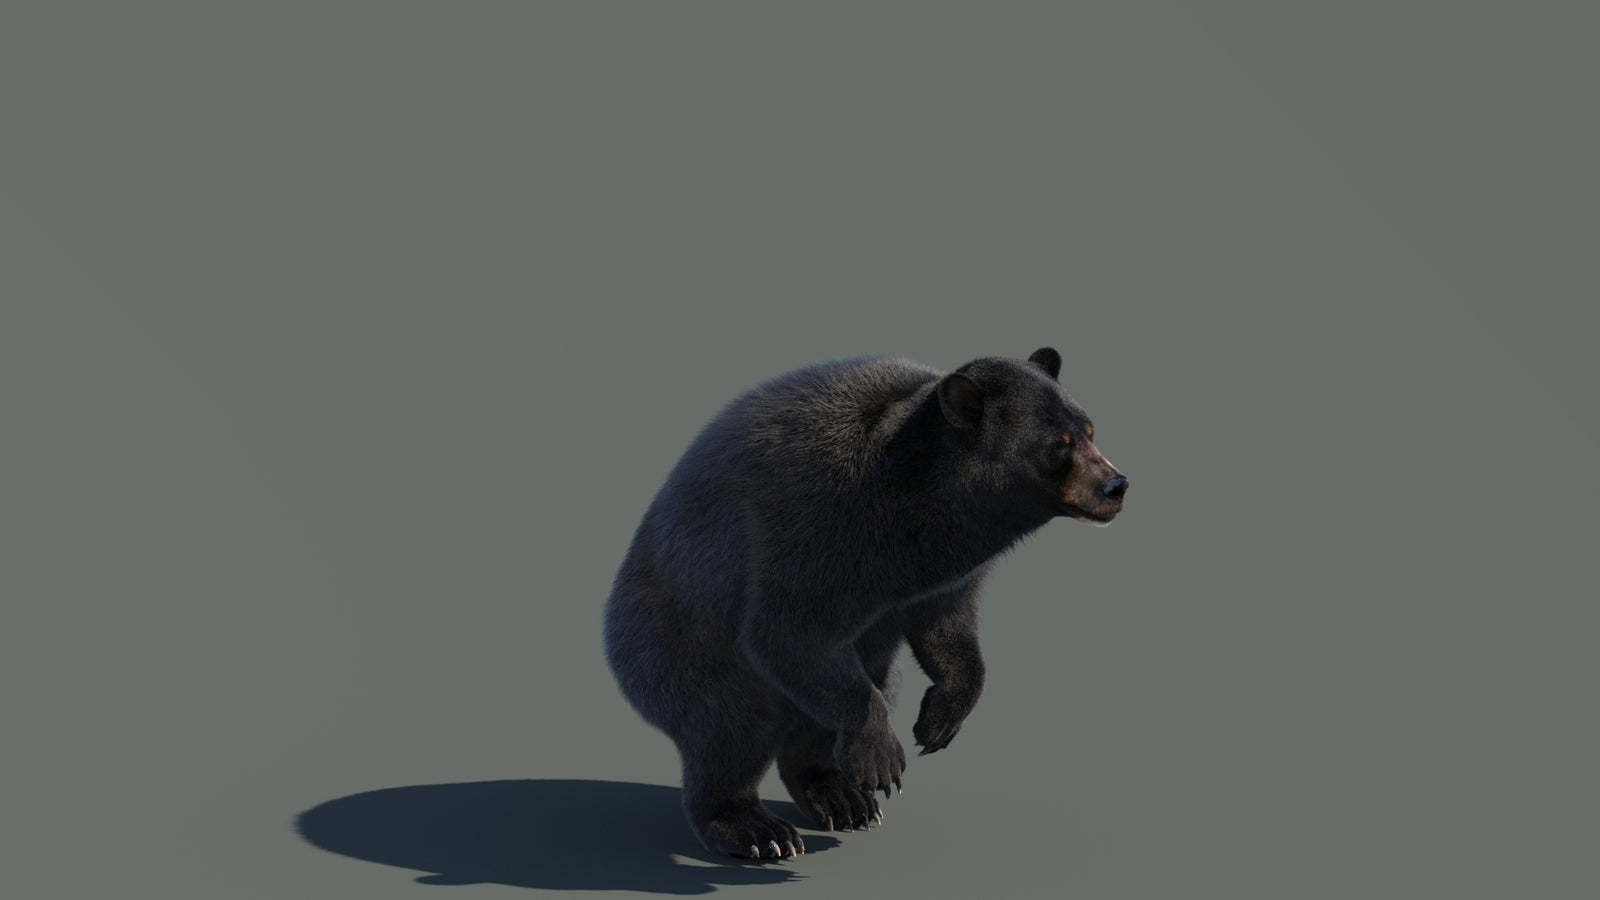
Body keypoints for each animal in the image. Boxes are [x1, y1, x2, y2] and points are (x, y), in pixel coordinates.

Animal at [602, 347, 1128, 859]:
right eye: (1058, 443)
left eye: (1089, 429)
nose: (1117, 486)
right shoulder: (820, 520)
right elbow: (788, 629)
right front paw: (882, 757)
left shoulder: (945, 572)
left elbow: (946, 626)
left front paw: (938, 721)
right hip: (673, 644)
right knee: (730, 727)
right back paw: (756, 828)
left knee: (839, 705)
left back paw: (840, 796)